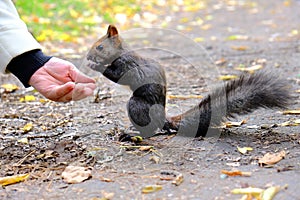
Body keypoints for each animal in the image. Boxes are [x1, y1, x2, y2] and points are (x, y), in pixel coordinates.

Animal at [86, 24, 290, 138]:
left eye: (100, 47)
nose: (88, 56)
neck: (121, 52)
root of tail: (163, 118)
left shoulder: (127, 65)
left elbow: (116, 74)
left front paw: (94, 65)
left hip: (138, 105)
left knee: (151, 130)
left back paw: (134, 134)